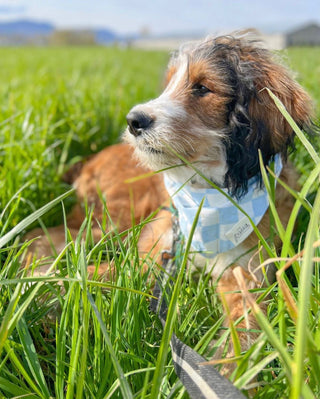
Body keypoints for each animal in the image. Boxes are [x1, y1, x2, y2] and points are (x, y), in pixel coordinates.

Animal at [25, 33, 312, 368]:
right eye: (169, 84)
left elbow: (243, 330)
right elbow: (101, 276)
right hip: (113, 220)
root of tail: (90, 160)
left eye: (202, 87)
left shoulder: (246, 274)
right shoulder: (152, 255)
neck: (206, 195)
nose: (133, 121)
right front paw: (43, 286)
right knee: (44, 235)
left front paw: (223, 369)